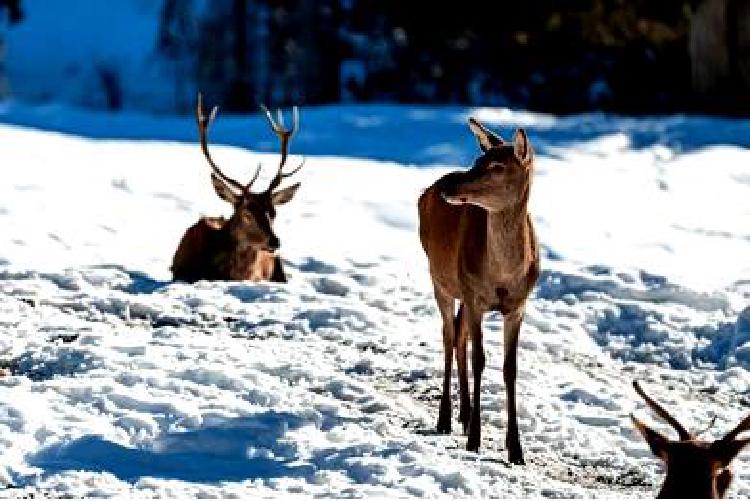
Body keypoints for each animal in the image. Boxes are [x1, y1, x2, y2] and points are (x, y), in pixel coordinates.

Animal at [418, 119, 540, 462]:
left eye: (498, 166)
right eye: (477, 160)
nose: (450, 187)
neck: (503, 275)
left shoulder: (518, 306)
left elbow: (510, 368)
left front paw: (516, 449)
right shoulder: (475, 297)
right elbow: (480, 358)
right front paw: (475, 439)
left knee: (459, 336)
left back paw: (464, 414)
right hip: (441, 280)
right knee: (449, 337)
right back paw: (447, 418)